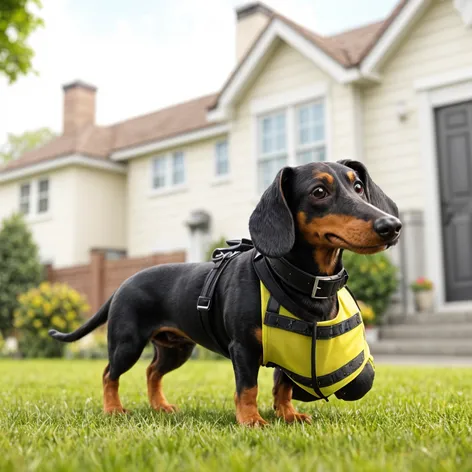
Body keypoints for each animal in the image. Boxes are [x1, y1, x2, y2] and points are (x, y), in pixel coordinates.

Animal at [49, 160, 400, 426]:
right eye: (319, 192)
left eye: (358, 187)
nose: (392, 226)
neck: (298, 280)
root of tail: (123, 284)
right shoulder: (242, 348)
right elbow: (248, 387)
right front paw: (251, 420)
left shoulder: (291, 350)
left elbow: (283, 386)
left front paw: (288, 415)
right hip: (127, 344)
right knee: (109, 373)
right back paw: (113, 409)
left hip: (176, 349)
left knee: (152, 372)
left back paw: (160, 406)